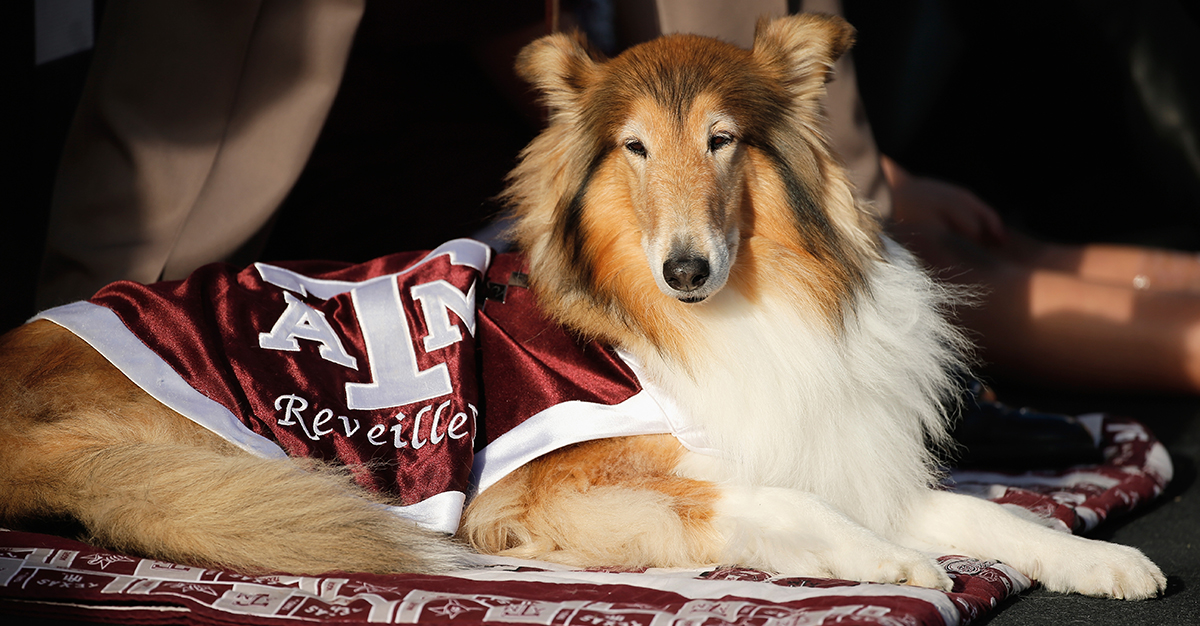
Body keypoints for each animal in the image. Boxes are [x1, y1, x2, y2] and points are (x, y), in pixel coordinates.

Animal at [0, 14, 1161, 597]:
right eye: (633, 147)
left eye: (722, 140)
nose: (686, 269)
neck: (712, 318)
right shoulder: (541, 489)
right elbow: (768, 501)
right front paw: (887, 564)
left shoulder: (826, 441)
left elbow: (989, 510)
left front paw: (1101, 559)